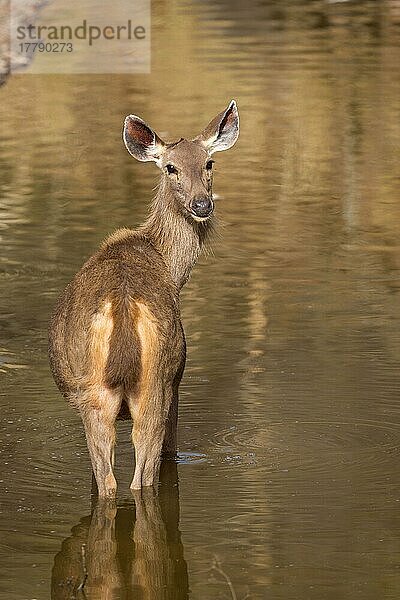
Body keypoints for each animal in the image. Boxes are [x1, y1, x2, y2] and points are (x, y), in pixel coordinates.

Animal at [48, 99, 239, 496]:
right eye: (171, 167)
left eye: (209, 163)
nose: (202, 204)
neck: (168, 264)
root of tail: (123, 309)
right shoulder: (178, 380)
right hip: (159, 379)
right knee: (139, 472)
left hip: (106, 393)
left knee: (113, 476)